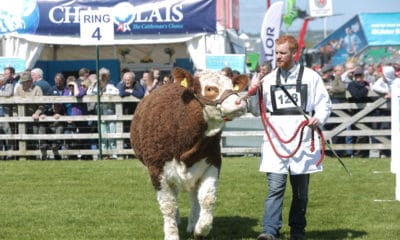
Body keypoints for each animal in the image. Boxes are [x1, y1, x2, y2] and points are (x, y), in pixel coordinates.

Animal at [130, 66, 248, 239]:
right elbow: (168, 205)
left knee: (194, 198)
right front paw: (171, 234)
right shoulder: (156, 170)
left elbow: (207, 199)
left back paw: (192, 224)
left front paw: (200, 229)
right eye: (210, 88)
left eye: (232, 86)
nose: (240, 102)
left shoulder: (212, 162)